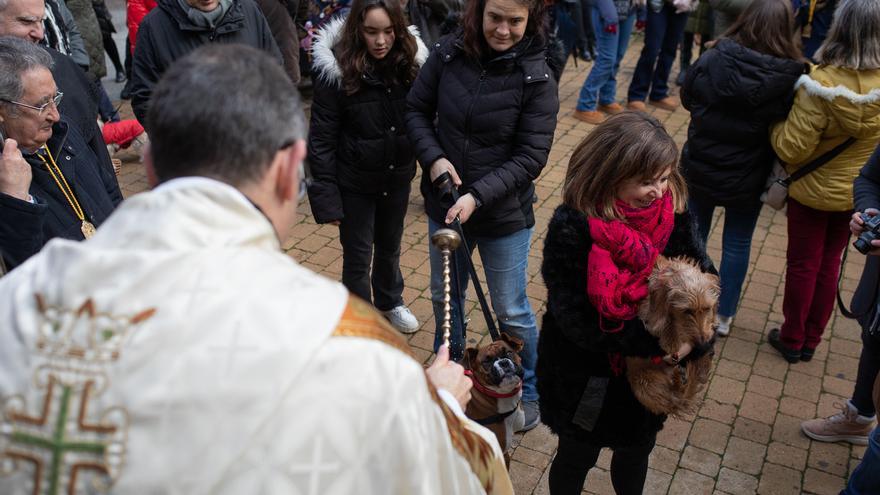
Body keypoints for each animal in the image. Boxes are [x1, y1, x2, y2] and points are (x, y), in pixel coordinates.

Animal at [624, 258, 720, 416]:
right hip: (644, 383)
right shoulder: (648, 311)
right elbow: (662, 323)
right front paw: (670, 341)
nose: (702, 344)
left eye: (707, 308)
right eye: (687, 311)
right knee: (672, 399)